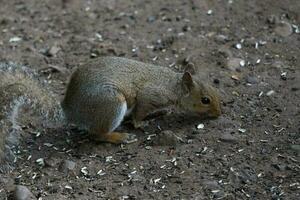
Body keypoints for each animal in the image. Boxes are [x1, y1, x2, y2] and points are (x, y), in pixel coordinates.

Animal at [0, 55, 220, 166]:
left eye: (214, 89)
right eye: (205, 100)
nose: (219, 113)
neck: (173, 86)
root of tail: (70, 110)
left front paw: (158, 114)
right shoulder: (149, 96)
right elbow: (139, 113)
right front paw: (142, 123)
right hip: (111, 105)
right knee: (97, 135)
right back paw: (118, 137)